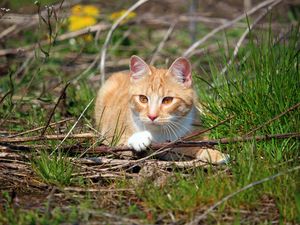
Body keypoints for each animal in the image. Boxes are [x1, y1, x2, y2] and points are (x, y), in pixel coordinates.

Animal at [95, 55, 229, 163]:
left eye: (167, 100)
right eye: (143, 99)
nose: (152, 116)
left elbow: (196, 146)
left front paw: (216, 154)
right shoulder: (112, 140)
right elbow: (122, 144)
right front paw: (139, 138)